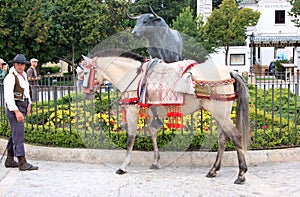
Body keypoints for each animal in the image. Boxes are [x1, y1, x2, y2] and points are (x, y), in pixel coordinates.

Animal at [82, 48, 251, 184]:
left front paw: (123, 166)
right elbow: (153, 135)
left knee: (235, 137)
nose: (85, 93)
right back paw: (213, 170)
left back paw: (241, 174)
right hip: (221, 114)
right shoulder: (150, 114)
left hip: (220, 113)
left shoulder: (132, 112)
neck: (135, 77)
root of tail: (230, 71)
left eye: (84, 72)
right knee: (223, 139)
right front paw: (156, 161)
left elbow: (130, 138)